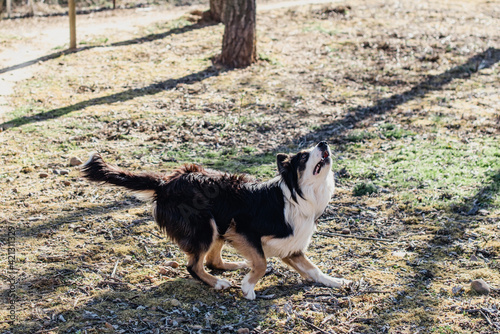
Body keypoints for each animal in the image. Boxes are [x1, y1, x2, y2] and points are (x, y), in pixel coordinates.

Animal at [81, 142, 348, 298]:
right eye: (303, 157)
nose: (323, 142)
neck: (296, 196)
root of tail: (165, 182)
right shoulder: (244, 230)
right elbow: (262, 263)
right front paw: (248, 288)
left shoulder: (290, 247)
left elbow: (313, 269)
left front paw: (335, 281)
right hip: (206, 225)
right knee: (194, 265)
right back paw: (217, 283)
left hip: (219, 224)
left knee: (212, 260)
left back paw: (233, 266)